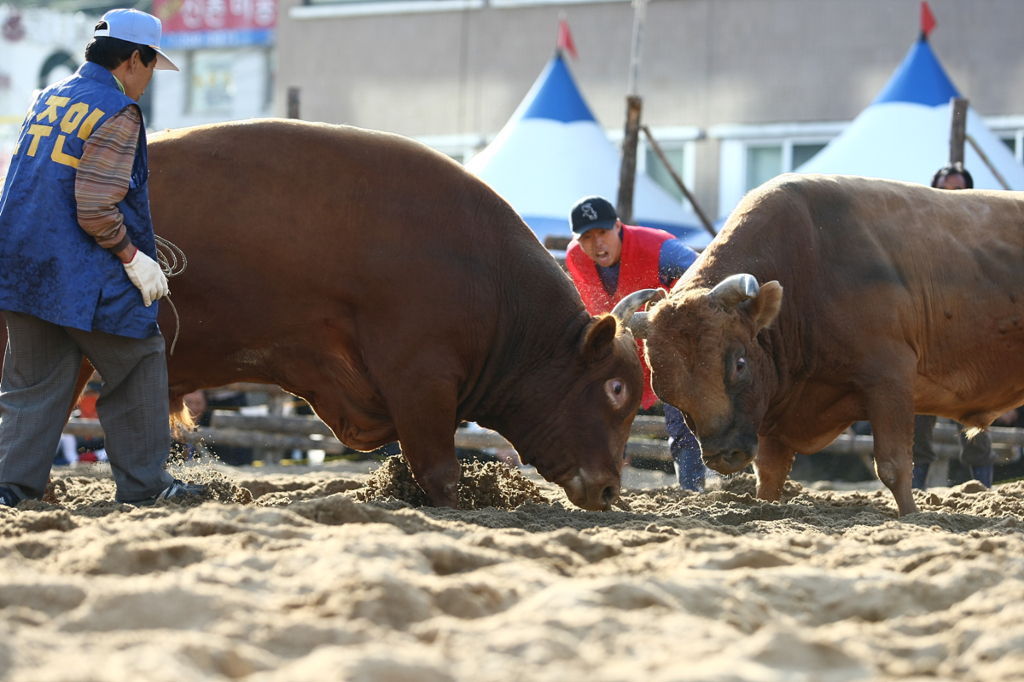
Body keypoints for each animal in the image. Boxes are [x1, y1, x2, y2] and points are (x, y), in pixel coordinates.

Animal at [638, 173, 1024, 512]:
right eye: (664, 390)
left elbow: (894, 466)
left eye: (740, 364)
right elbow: (769, 475)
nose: (725, 454)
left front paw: (911, 515)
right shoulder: (773, 409)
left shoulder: (890, 381)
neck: (809, 264)